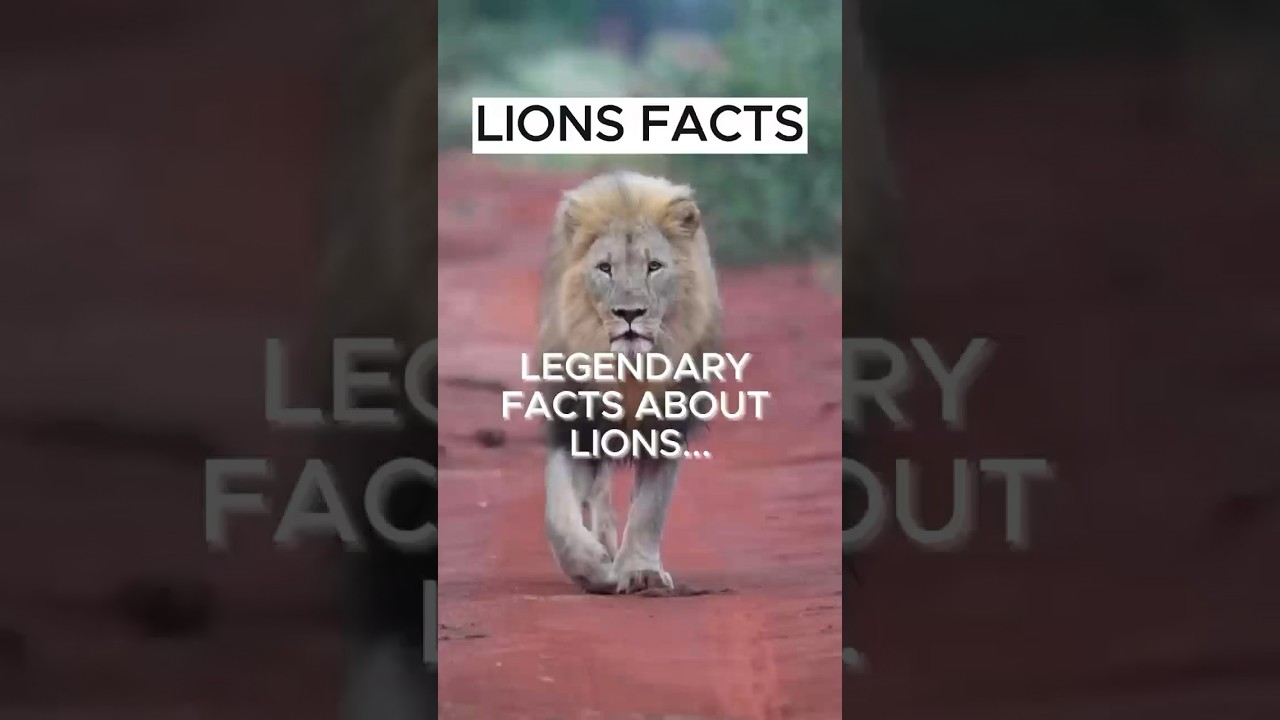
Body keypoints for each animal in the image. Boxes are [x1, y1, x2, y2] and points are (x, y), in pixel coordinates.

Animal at [536, 171, 723, 595]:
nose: (629, 313)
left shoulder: (667, 427)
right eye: (605, 268)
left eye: (654, 266)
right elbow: (559, 516)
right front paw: (593, 566)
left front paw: (641, 572)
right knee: (597, 496)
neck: (630, 370)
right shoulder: (575, 421)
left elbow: (649, 509)